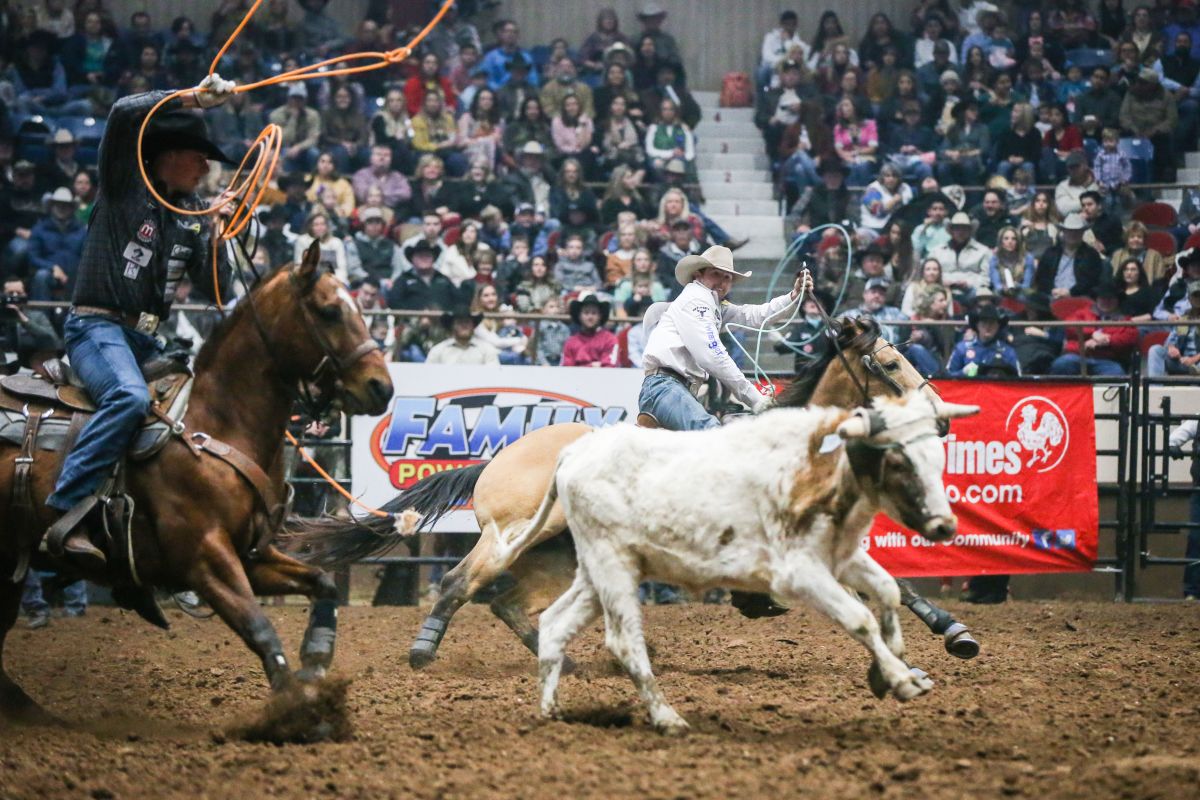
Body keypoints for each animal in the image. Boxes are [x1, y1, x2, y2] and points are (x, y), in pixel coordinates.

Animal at [0, 244, 393, 724]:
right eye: (330, 311)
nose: (381, 387)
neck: (218, 424)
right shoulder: (203, 558)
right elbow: (259, 628)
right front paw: (298, 714)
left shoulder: (251, 554)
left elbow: (323, 582)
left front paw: (316, 663)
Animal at [295, 316, 979, 671]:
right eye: (888, 365)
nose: (943, 420)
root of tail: (500, 456)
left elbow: (900, 583)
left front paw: (955, 633)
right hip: (509, 536)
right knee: (461, 583)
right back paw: (422, 650)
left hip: (555, 555)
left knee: (505, 602)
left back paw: (562, 659)